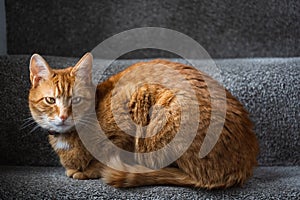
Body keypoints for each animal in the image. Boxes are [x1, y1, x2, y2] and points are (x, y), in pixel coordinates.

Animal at [27, 52, 258, 188]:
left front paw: (88, 170)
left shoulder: (129, 106)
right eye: (50, 100)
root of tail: (246, 164)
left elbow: (108, 155)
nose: (64, 116)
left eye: (76, 100)